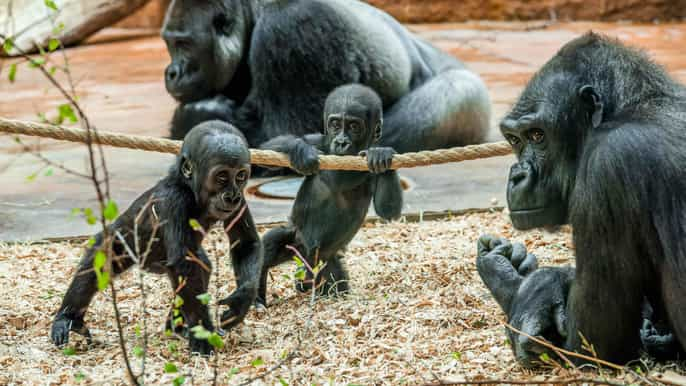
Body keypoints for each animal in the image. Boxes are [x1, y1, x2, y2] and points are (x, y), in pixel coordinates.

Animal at [49, 120, 264, 352]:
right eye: (222, 176)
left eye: (240, 176)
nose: (232, 195)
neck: (190, 189)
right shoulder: (173, 201)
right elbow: (184, 266)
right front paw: (203, 337)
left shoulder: (241, 201)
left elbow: (245, 244)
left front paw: (241, 303)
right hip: (117, 240)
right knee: (94, 269)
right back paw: (68, 319)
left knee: (201, 266)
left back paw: (176, 326)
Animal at [163, 0, 492, 158]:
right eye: (169, 43)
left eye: (183, 44)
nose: (171, 73)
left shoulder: (292, 26)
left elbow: (284, 134)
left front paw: (194, 116)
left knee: (455, 94)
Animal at [476, 31, 686, 366]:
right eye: (514, 140)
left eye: (538, 135)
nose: (518, 174)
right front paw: (521, 269)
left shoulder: (606, 166)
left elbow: (592, 344)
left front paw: (526, 285)